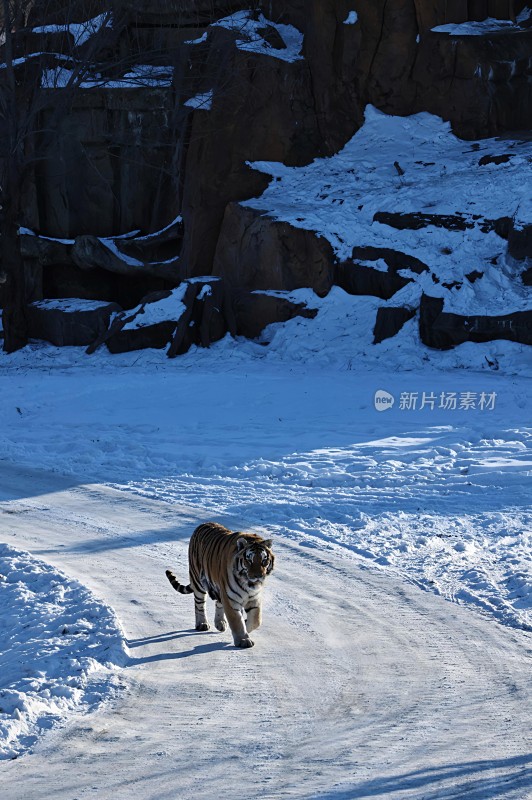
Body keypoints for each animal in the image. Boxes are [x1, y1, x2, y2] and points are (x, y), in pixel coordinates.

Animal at [165, 520, 274, 648]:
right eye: (249, 560)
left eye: (264, 560)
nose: (258, 576)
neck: (248, 584)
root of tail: (204, 523)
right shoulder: (231, 599)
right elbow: (236, 620)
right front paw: (243, 640)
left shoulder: (254, 598)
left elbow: (256, 620)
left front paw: (246, 624)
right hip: (198, 581)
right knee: (199, 604)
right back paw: (202, 624)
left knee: (218, 603)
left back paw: (220, 623)